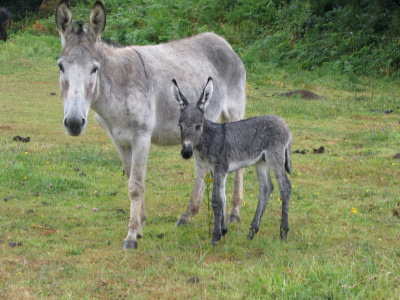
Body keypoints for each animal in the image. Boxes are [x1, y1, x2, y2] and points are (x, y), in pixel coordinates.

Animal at [170, 78, 292, 244]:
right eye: (180, 125)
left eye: (198, 125)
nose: (186, 152)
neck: (209, 138)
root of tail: (284, 124)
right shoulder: (216, 170)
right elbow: (222, 198)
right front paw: (223, 230)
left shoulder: (220, 168)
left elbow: (216, 200)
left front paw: (215, 236)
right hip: (262, 162)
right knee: (266, 188)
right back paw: (252, 231)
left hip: (276, 157)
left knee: (285, 186)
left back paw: (283, 232)